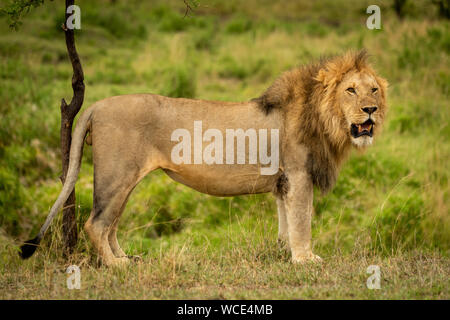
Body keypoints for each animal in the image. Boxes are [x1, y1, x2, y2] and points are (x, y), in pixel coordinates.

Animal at [20, 49, 386, 264]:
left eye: (374, 89)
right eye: (350, 90)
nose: (371, 110)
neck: (327, 120)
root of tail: (95, 105)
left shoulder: (284, 181)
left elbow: (286, 221)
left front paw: (285, 253)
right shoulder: (298, 174)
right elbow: (302, 220)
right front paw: (306, 260)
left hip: (124, 180)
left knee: (109, 225)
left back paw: (127, 259)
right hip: (117, 175)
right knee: (95, 224)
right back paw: (116, 267)